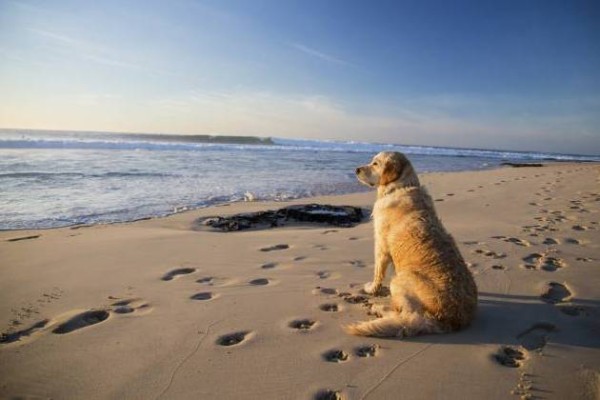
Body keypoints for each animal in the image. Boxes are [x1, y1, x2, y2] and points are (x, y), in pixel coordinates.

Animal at [344, 152, 476, 338]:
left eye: (375, 164)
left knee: (405, 316)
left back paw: (379, 308)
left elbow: (378, 273)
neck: (400, 186)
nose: (356, 169)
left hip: (399, 281)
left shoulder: (381, 246)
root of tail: (448, 321)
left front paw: (371, 289)